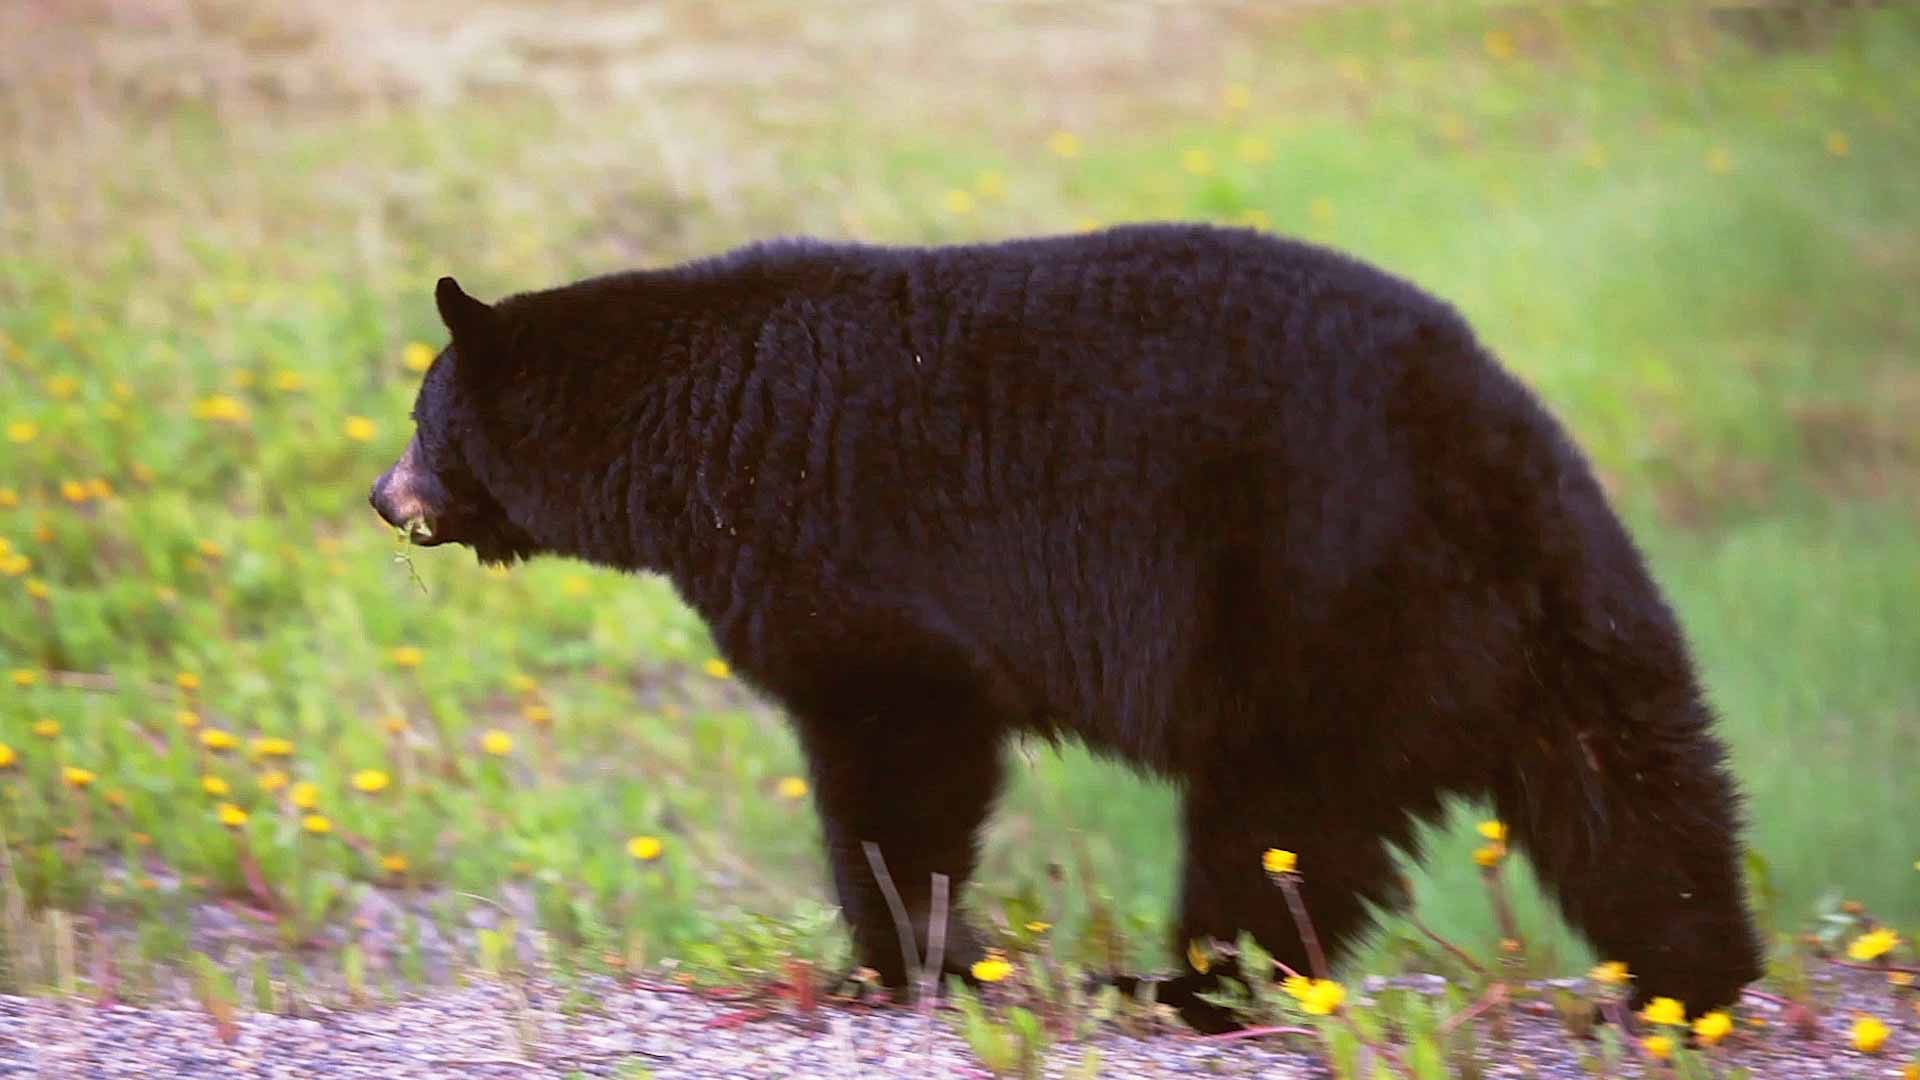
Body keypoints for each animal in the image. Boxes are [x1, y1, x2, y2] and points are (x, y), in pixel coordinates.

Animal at [370, 219, 1758, 1022]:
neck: (691, 427)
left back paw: (1177, 982)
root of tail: (1490, 443)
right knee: (1633, 788)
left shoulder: (841, 549)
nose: (384, 495)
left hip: (1315, 608)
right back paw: (1689, 983)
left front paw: (902, 960)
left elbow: (898, 747)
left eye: (421, 418)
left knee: (1280, 827)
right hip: (1554, 621)